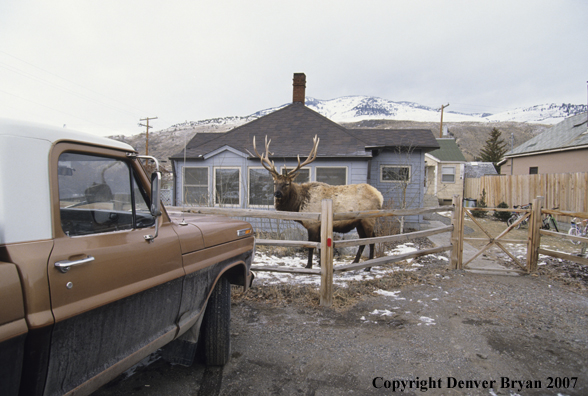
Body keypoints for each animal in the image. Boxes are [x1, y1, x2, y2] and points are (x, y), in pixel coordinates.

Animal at [254, 135, 386, 270]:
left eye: (287, 184)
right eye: (275, 183)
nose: (277, 194)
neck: (298, 205)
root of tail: (380, 196)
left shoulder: (312, 224)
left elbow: (311, 245)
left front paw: (308, 266)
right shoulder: (319, 226)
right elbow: (319, 246)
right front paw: (320, 263)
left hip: (368, 219)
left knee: (372, 239)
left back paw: (368, 266)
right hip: (359, 222)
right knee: (363, 239)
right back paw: (355, 262)